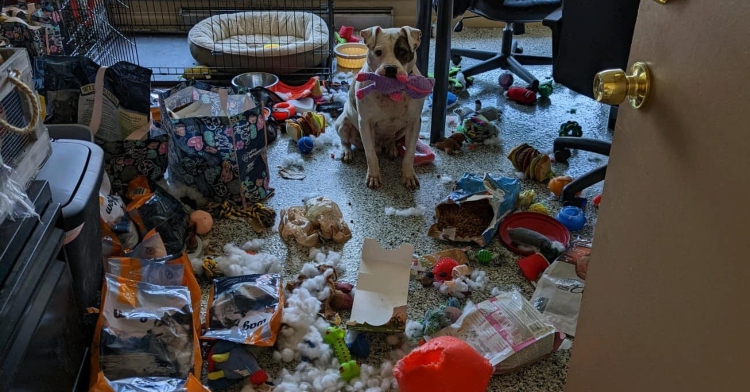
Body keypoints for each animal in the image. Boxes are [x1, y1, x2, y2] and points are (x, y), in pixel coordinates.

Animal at [336, 26, 426, 190]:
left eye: (402, 51)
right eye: (378, 52)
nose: (390, 69)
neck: (391, 92)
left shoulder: (414, 123)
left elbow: (409, 153)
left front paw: (408, 176)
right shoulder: (365, 123)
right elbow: (370, 154)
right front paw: (373, 176)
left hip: (402, 130)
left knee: (392, 139)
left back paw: (392, 148)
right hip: (343, 124)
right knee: (345, 141)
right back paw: (347, 152)